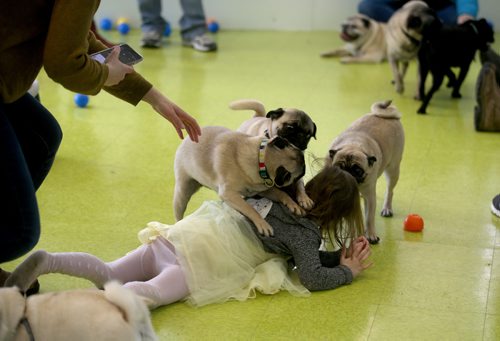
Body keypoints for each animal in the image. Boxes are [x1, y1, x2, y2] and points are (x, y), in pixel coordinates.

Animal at [174, 125, 304, 236]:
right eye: (297, 176)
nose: (304, 168)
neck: (261, 159)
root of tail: (187, 138)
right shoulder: (229, 194)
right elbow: (250, 209)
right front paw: (262, 223)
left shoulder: (262, 190)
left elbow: (281, 194)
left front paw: (293, 205)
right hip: (182, 194)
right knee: (178, 213)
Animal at [326, 99, 404, 243]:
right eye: (339, 168)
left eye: (357, 170)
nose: (348, 174)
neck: (353, 145)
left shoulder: (370, 197)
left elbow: (369, 218)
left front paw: (371, 234)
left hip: (393, 170)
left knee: (389, 191)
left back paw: (387, 208)